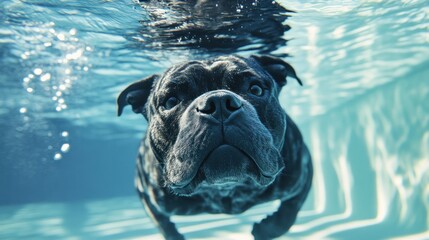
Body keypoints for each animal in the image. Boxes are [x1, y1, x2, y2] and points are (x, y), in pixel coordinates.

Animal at [117, 55, 310, 239]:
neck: (224, 187)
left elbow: (287, 215)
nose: (218, 101)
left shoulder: (302, 176)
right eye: (171, 101)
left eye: (255, 89)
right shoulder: (149, 199)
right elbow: (165, 228)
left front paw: (263, 230)